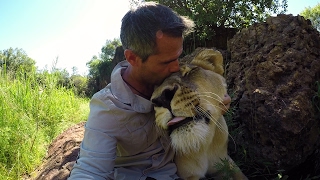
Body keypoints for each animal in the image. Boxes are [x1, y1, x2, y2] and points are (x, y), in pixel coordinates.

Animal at [151, 48, 248, 180]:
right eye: (153, 91)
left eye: (189, 73)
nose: (161, 99)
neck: (203, 147)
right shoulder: (189, 176)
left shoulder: (225, 162)